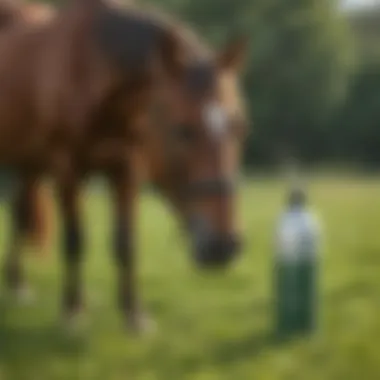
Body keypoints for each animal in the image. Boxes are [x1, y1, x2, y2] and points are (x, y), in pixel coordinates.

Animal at [0, 0, 248, 332]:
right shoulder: (66, 169)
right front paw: (73, 311)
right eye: (181, 130)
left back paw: (17, 284)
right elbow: (75, 240)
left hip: (30, 163)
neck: (91, 69)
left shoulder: (127, 169)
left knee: (21, 213)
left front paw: (134, 314)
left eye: (237, 127)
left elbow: (126, 243)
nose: (223, 247)